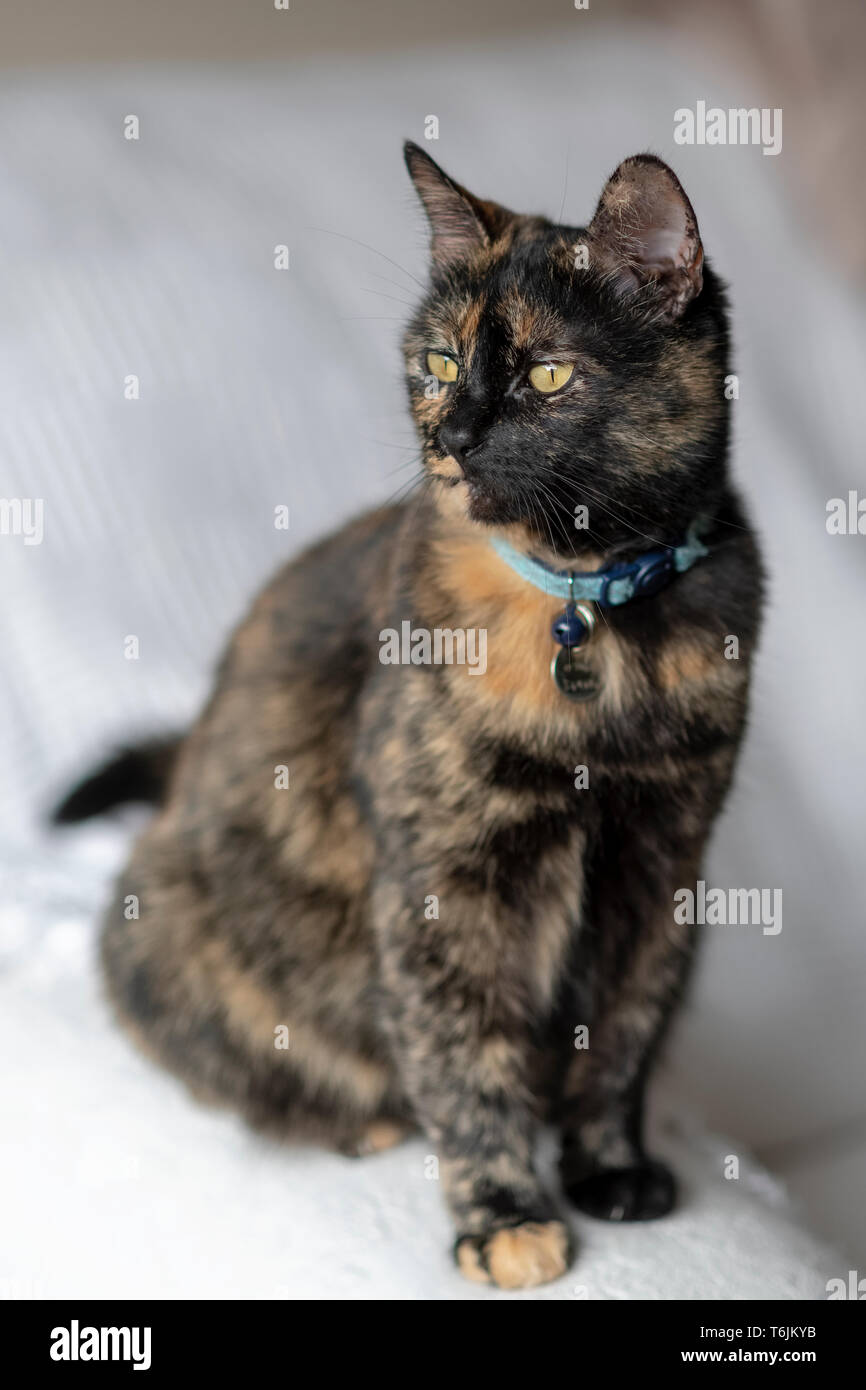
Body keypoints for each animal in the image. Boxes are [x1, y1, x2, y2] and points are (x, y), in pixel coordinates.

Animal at [57, 143, 767, 1289]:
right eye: (437, 360)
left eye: (546, 373)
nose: (454, 434)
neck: (592, 613)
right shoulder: (443, 878)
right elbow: (461, 1050)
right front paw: (502, 1215)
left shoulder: (664, 861)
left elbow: (622, 1032)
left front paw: (610, 1167)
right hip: (155, 918)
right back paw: (364, 1121)